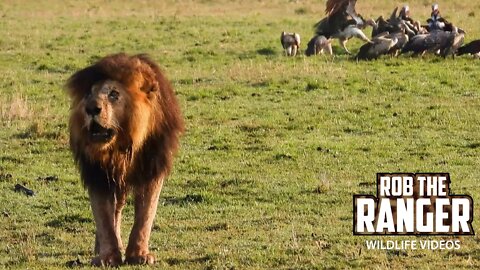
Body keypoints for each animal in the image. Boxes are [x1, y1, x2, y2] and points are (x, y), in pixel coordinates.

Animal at [64, 52, 183, 266]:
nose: (91, 108)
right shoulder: (97, 175)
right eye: (88, 95)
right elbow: (104, 218)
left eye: (114, 94)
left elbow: (145, 216)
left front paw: (139, 255)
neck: (120, 147)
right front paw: (108, 256)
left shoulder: (152, 169)